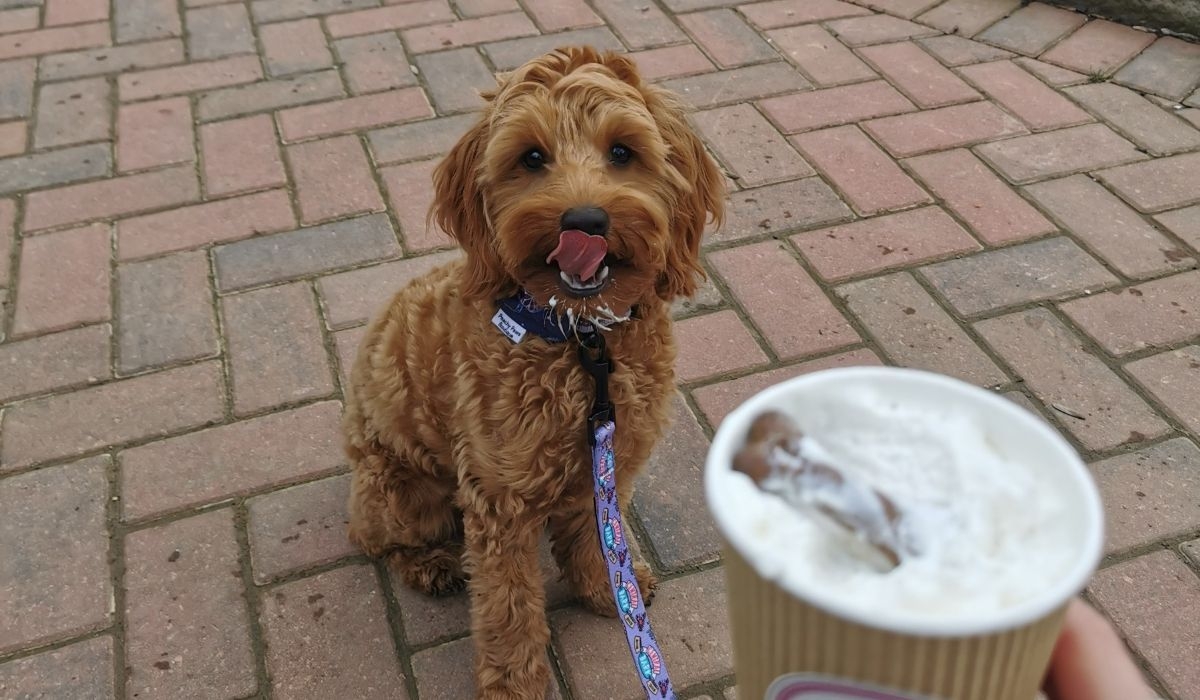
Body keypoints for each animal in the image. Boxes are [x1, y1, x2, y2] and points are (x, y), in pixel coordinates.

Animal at [343, 46, 724, 696]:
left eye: (622, 151)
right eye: (532, 157)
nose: (585, 221)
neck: (582, 341)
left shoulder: (608, 464)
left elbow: (598, 539)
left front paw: (609, 591)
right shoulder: (500, 503)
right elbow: (508, 604)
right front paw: (513, 683)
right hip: (400, 489)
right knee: (379, 540)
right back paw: (431, 565)